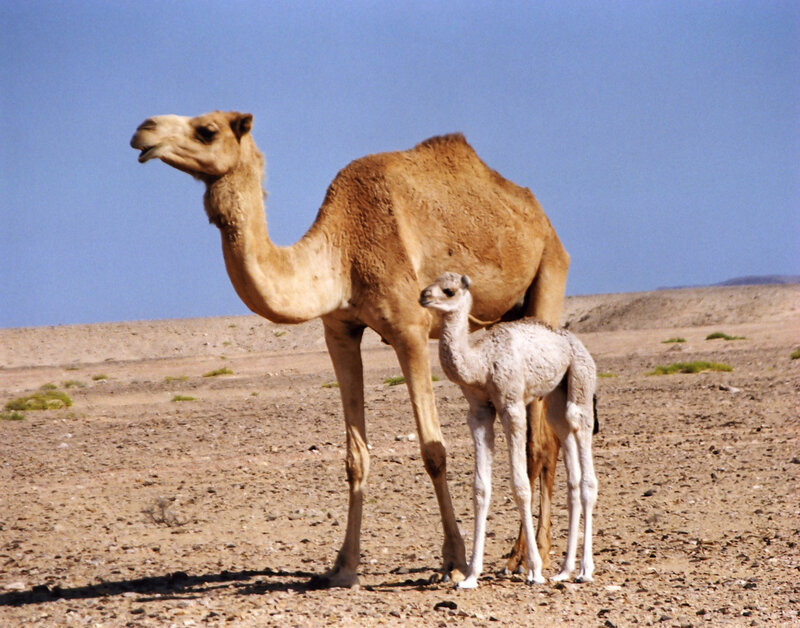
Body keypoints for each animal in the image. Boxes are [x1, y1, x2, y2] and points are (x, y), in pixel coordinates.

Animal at [129, 110, 569, 587]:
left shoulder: (410, 329)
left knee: (540, 443)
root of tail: (542, 217)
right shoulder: (339, 330)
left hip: (549, 273)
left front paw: (452, 560)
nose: (143, 130)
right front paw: (342, 567)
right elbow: (355, 456)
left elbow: (433, 450)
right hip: (509, 318)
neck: (344, 253)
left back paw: (527, 556)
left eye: (207, 130)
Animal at [419, 272, 598, 587]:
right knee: (569, 461)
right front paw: (470, 576)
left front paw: (534, 570)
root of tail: (574, 342)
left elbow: (521, 485)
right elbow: (480, 488)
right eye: (431, 282)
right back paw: (565, 570)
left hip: (581, 380)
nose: (423, 296)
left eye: (448, 290)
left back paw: (585, 571)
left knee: (585, 464)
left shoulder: (512, 405)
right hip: (555, 397)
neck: (481, 363)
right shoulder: (479, 412)